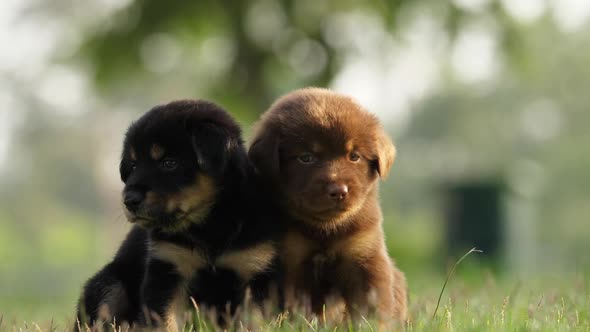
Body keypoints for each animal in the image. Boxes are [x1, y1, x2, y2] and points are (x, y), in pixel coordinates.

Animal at [77, 100, 280, 330]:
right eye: (134, 165)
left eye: (169, 163)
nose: (129, 200)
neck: (208, 224)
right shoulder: (168, 267)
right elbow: (164, 320)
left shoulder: (254, 269)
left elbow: (254, 321)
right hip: (110, 283)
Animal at [249, 87, 408, 322]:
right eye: (306, 158)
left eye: (354, 156)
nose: (339, 191)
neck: (325, 229)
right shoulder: (292, 259)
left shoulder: (364, 255)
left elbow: (371, 305)